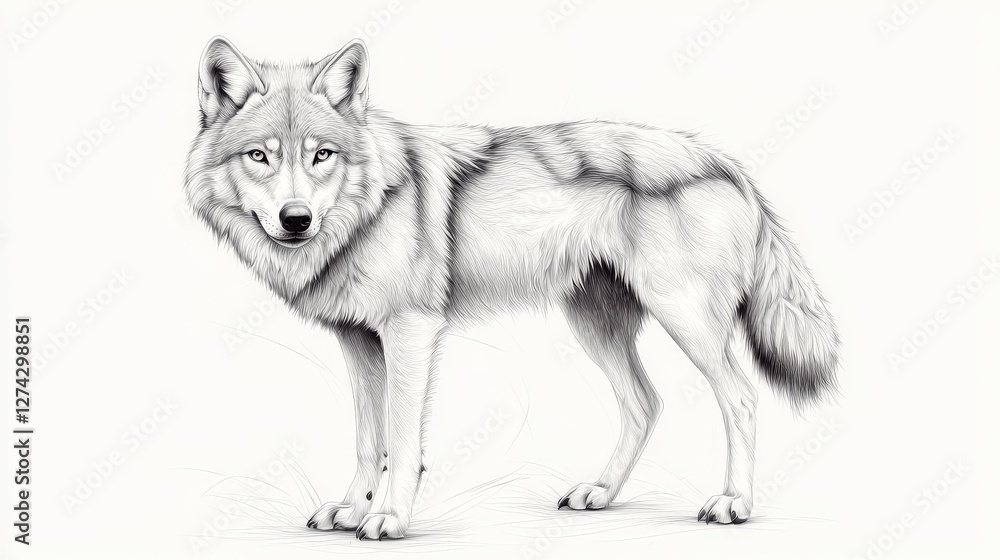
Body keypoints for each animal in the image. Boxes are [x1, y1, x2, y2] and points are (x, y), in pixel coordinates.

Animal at [185, 36, 840, 540]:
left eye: (321, 155)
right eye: (259, 157)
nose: (296, 220)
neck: (369, 207)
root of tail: (728, 162)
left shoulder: (411, 334)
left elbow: (402, 440)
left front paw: (389, 518)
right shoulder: (358, 341)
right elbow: (370, 440)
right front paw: (349, 509)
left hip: (685, 321)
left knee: (741, 397)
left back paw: (734, 504)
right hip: (595, 327)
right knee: (646, 402)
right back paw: (600, 491)